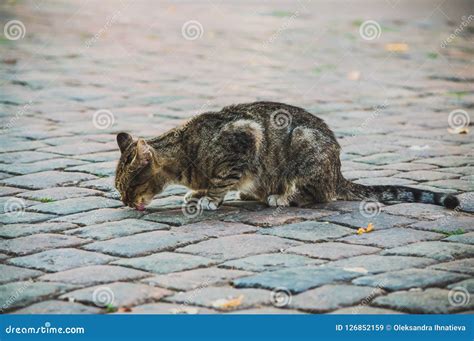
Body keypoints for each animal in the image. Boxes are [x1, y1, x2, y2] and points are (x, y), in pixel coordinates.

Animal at [115, 101, 460, 211]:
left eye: (128, 187)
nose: (125, 203)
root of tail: (338, 172)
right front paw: (197, 193)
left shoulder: (245, 137)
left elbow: (220, 182)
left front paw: (209, 199)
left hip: (304, 144)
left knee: (320, 195)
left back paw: (281, 197)